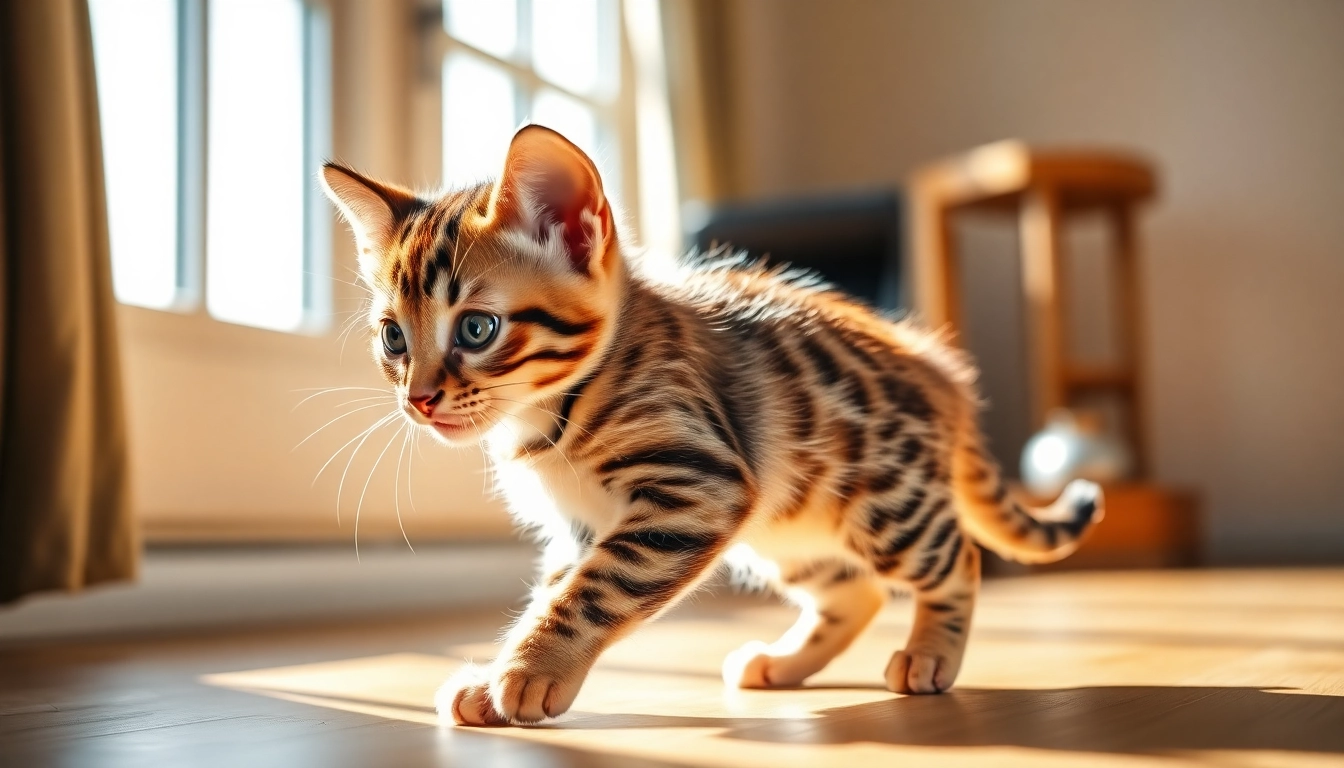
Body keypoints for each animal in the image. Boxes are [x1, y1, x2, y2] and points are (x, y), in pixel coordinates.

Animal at [322, 126, 1102, 726]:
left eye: (478, 329)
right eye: (393, 338)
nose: (419, 399)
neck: (551, 419)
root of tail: (937, 369)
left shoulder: (698, 485)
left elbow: (592, 590)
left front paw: (530, 670)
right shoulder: (582, 526)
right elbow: (555, 588)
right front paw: (497, 671)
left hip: (885, 502)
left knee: (954, 557)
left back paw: (931, 654)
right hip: (790, 523)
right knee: (855, 590)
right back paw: (782, 663)